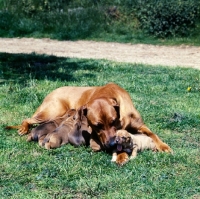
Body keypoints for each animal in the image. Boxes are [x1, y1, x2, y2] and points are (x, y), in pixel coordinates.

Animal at [6, 82, 172, 152]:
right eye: (97, 126)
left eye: (113, 122)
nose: (112, 144)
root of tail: (52, 91)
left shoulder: (139, 124)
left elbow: (153, 133)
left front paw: (163, 146)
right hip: (52, 112)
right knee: (28, 119)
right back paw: (24, 128)